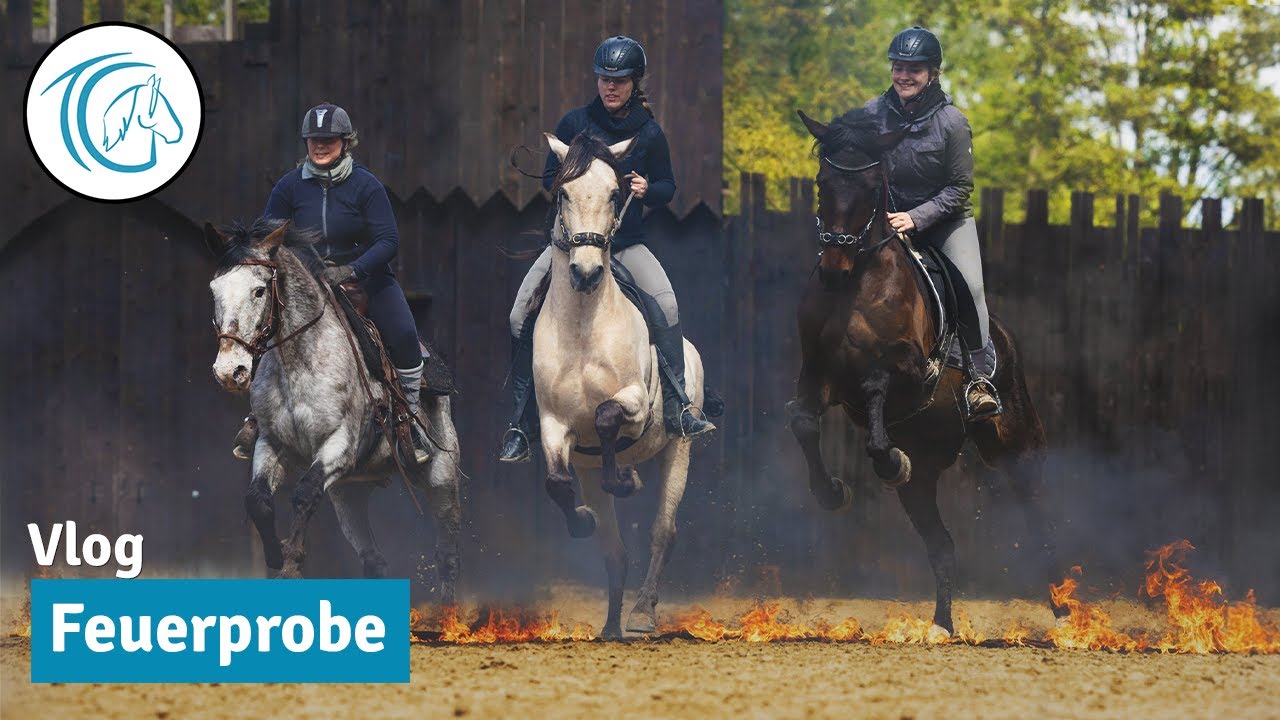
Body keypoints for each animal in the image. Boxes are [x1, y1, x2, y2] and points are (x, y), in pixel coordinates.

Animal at [205, 219, 461, 601]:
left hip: (442, 479)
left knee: (446, 556)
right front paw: (276, 557)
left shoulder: (340, 445)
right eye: (215, 290)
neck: (298, 362)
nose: (229, 371)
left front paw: (291, 565)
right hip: (349, 493)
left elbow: (304, 492)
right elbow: (258, 500)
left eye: (259, 291)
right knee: (374, 561)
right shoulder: (271, 442)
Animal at [531, 131, 705, 637]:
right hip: (589, 472)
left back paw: (642, 613)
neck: (582, 326)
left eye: (615, 192)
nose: (586, 273)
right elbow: (556, 483)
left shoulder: (635, 404)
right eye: (564, 193)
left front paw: (625, 480)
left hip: (679, 448)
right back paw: (610, 628)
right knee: (615, 554)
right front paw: (584, 519)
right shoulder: (553, 425)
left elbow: (607, 414)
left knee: (663, 532)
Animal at [787, 107, 1068, 634]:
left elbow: (878, 388)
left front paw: (886, 460)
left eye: (871, 185)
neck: (855, 284)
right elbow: (803, 423)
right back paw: (941, 624)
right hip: (926, 472)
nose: (833, 267)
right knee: (941, 544)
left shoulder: (911, 371)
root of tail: (1005, 337)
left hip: (1014, 445)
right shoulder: (819, 374)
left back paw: (1064, 615)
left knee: (1041, 517)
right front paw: (832, 492)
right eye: (821, 182)